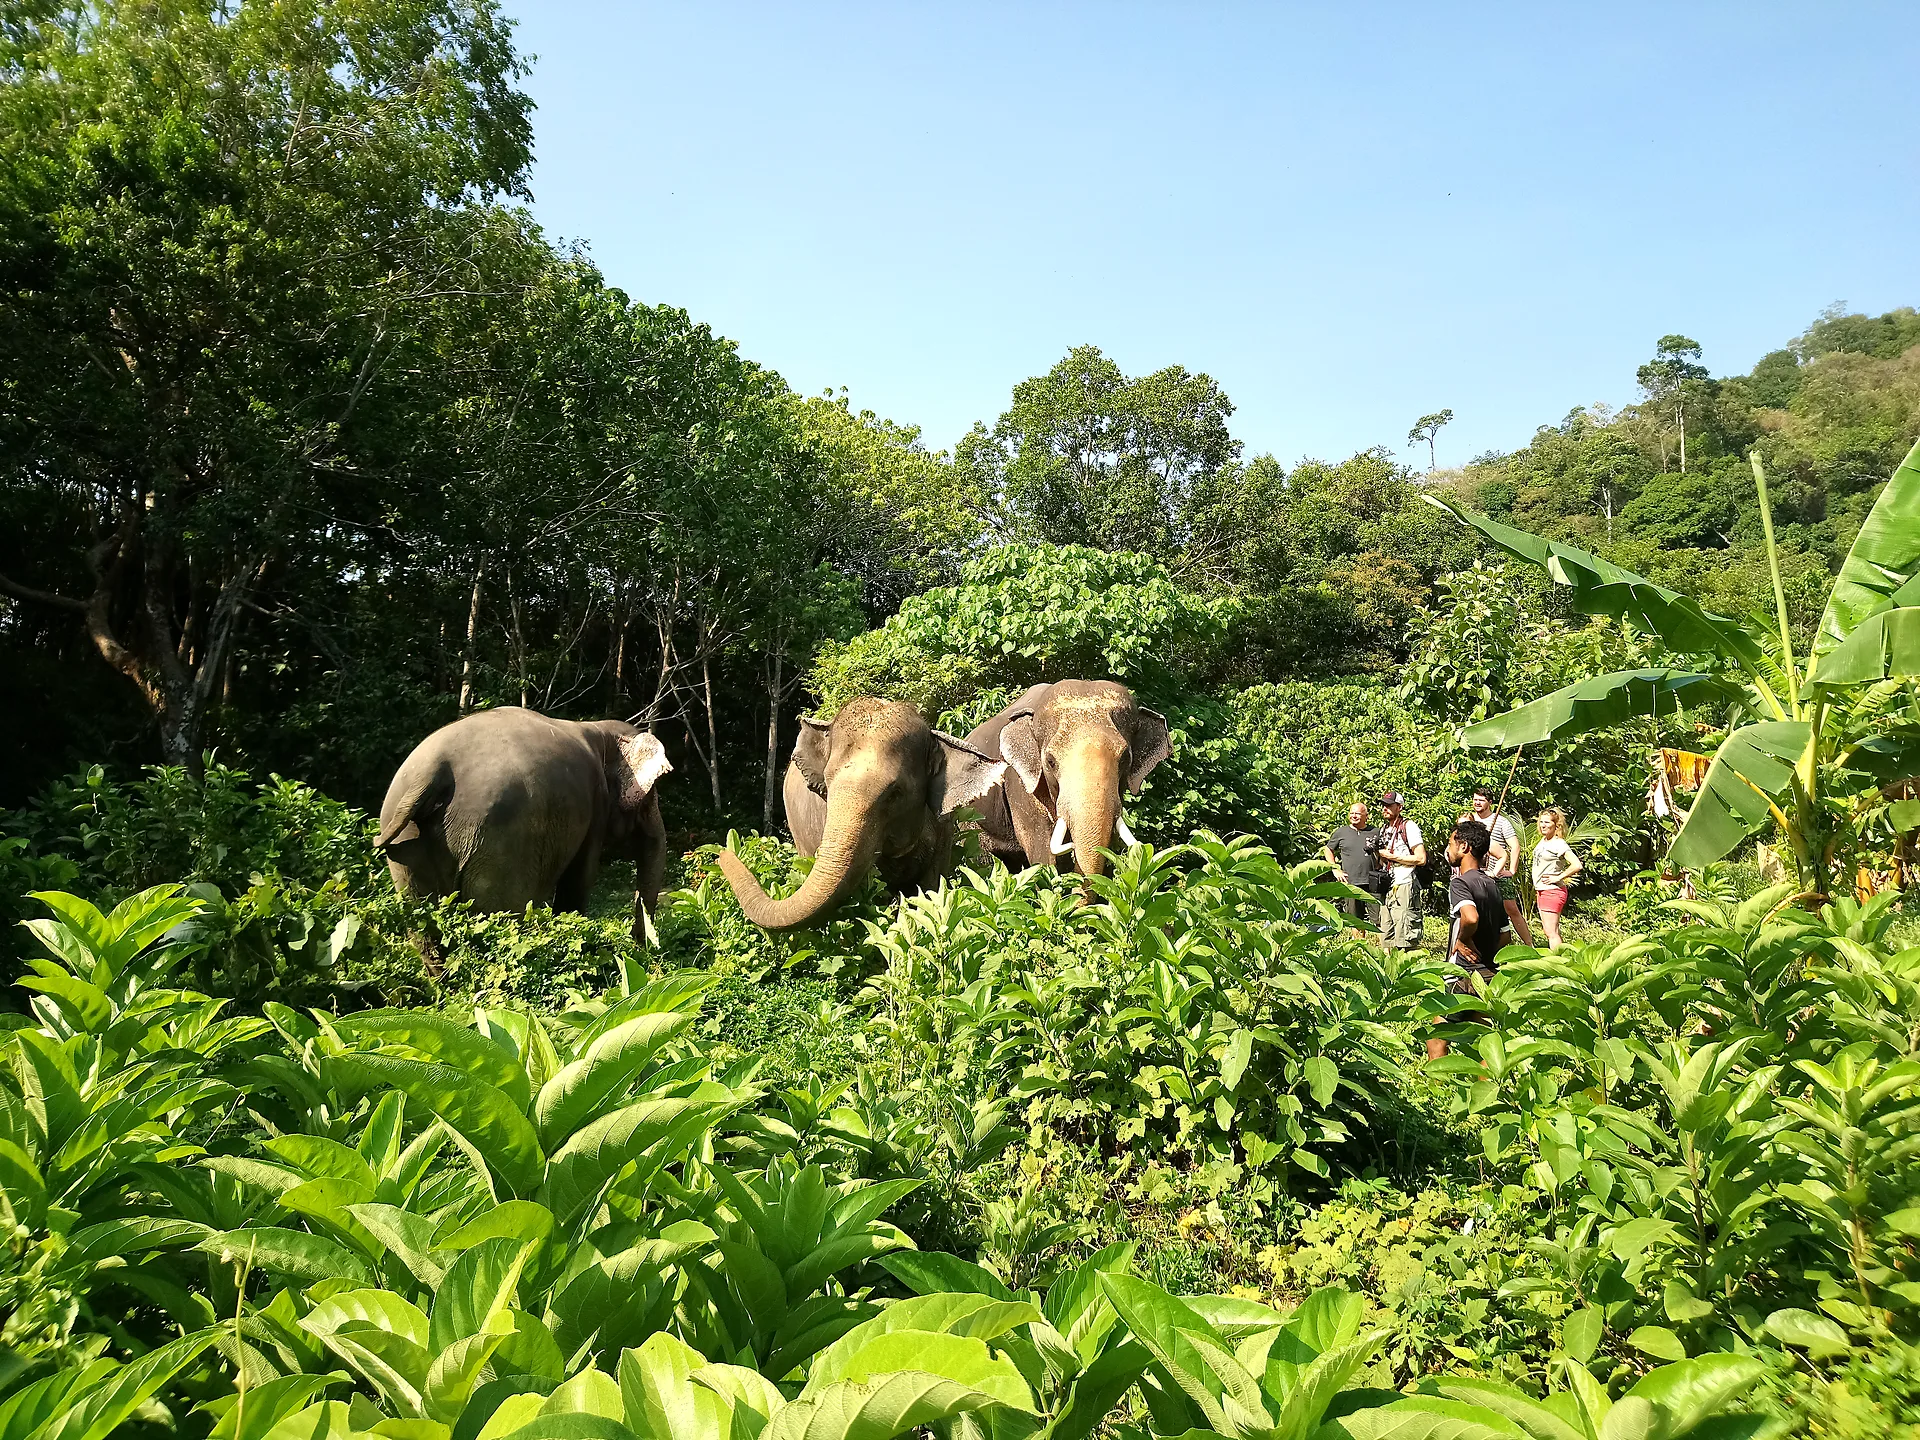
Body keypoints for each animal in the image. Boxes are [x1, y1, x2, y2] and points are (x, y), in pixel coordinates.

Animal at [376, 706, 672, 938]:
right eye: (651, 797)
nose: (638, 948)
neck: (597, 729)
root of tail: (434, 769)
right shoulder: (595, 805)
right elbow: (578, 880)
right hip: (498, 842)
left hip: (407, 846)